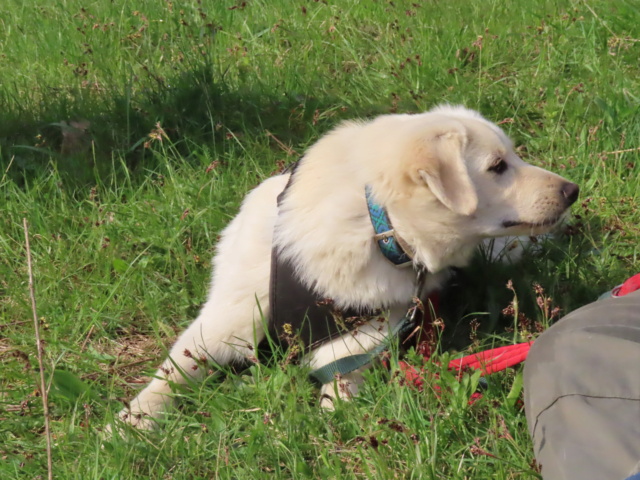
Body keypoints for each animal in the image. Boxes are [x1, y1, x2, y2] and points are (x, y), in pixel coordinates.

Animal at [111, 106, 580, 432]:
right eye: (498, 166)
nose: (573, 190)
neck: (375, 225)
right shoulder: (223, 322)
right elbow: (171, 373)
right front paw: (132, 422)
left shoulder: (366, 335)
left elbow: (339, 386)